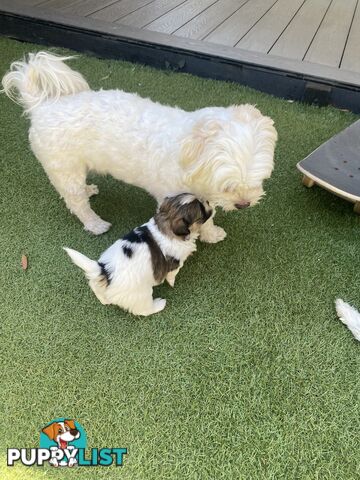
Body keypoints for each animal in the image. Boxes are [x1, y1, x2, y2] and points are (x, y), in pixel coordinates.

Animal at [1, 51, 278, 242]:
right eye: (228, 187)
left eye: (258, 181)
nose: (244, 204)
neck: (188, 155)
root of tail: (42, 106)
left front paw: (212, 234)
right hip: (64, 169)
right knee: (75, 201)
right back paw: (94, 223)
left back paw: (89, 190)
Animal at [64, 193, 212, 316]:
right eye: (202, 211)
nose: (208, 201)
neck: (166, 222)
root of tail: (104, 271)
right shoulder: (176, 262)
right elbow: (172, 274)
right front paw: (172, 283)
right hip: (142, 294)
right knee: (144, 310)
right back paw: (159, 304)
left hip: (98, 283)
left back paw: (104, 299)